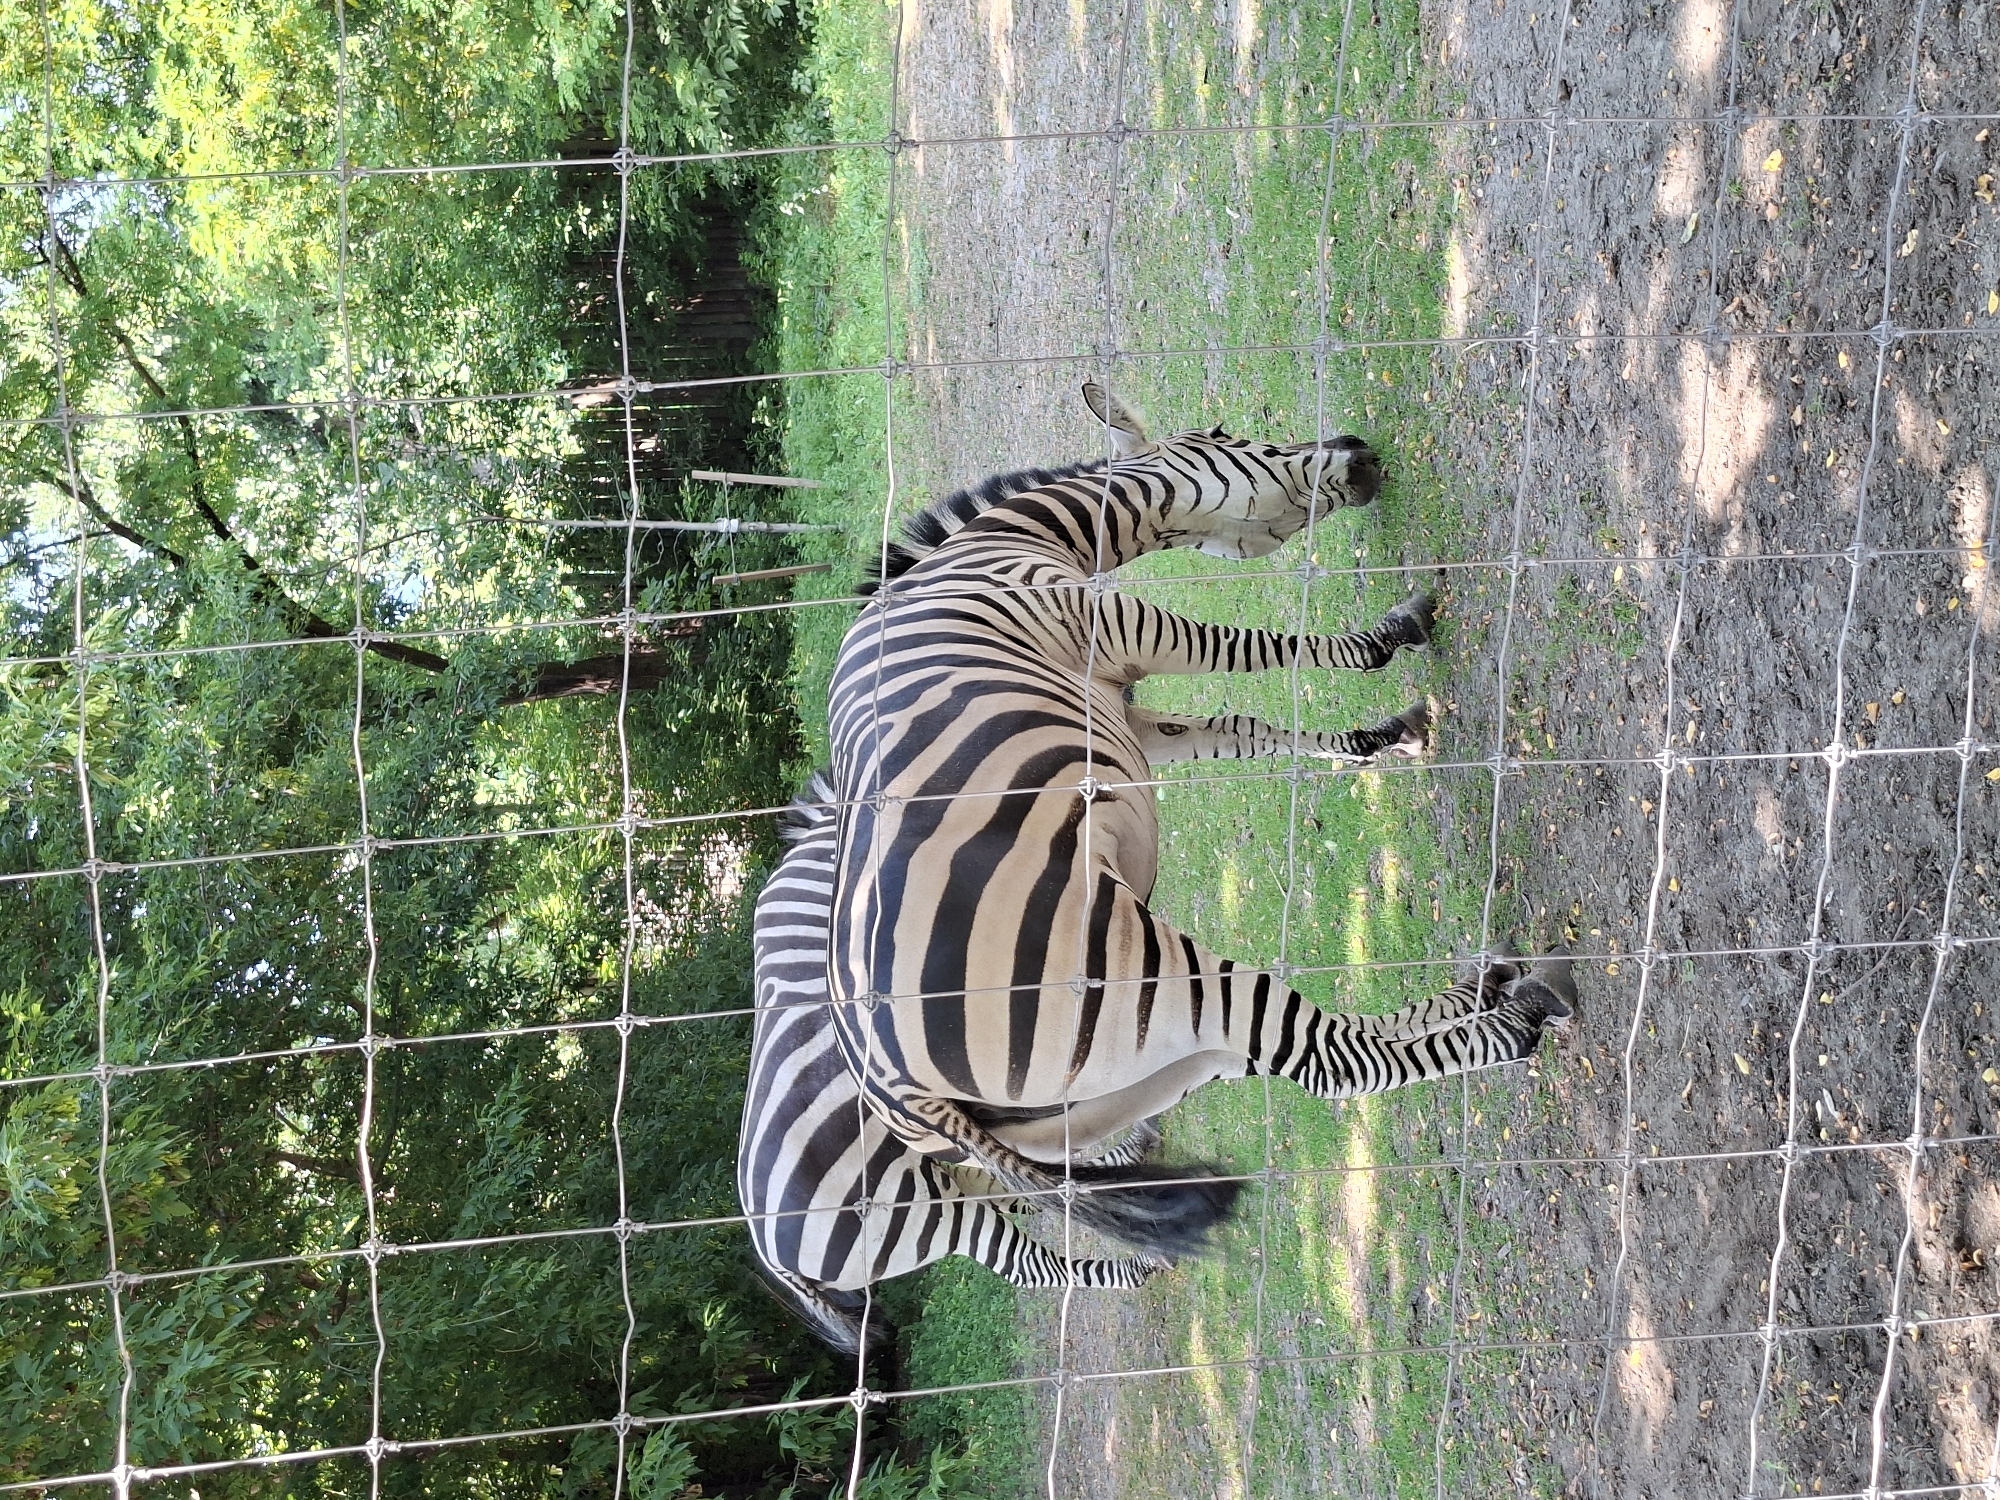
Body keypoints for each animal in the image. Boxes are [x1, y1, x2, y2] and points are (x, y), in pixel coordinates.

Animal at [821, 383, 1575, 1255]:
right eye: (1226, 435)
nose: (1360, 452)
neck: (1012, 540)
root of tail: (898, 1095)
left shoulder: (1129, 713)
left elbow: (1240, 730)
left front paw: (1380, 739)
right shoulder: (1120, 625)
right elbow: (1257, 651)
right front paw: (1391, 636)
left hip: (1132, 1074)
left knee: (1307, 1052)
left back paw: (1480, 990)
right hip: (1143, 968)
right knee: (1331, 1061)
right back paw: (1516, 1020)